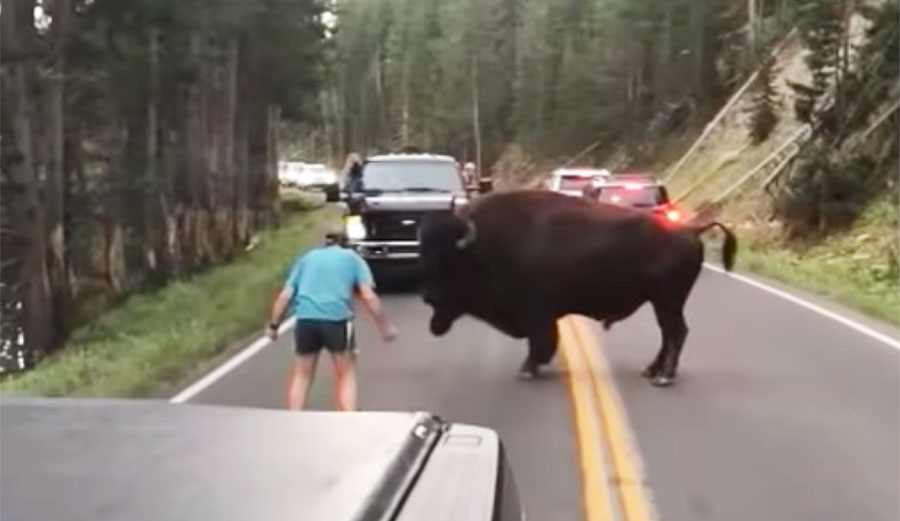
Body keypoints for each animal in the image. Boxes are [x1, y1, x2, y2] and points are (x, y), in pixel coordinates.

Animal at [419, 190, 736, 387]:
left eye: (449, 262)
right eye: (425, 255)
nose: (427, 297)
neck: (483, 246)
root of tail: (691, 230)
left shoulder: (536, 313)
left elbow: (540, 342)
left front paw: (527, 370)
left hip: (668, 300)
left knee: (676, 333)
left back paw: (664, 377)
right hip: (662, 302)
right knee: (668, 334)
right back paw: (651, 371)